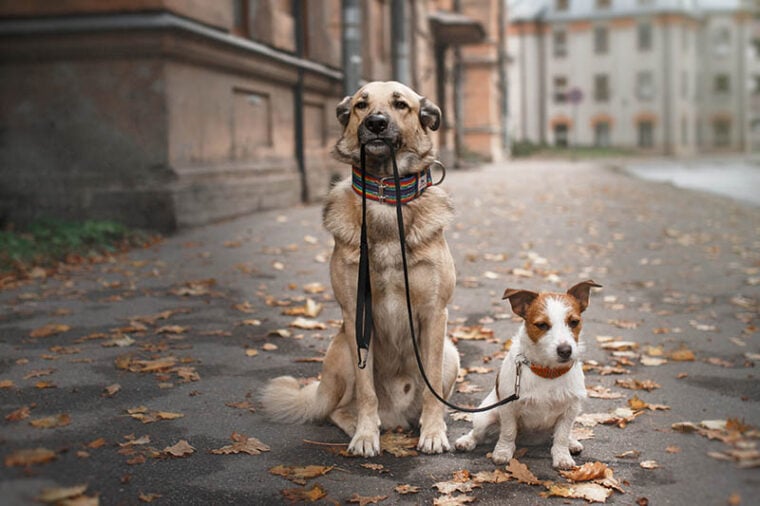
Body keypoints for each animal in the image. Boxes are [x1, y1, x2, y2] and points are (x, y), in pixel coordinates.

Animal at [262, 81, 460, 456]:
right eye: (360, 105)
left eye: (400, 104)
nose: (376, 123)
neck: (385, 195)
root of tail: (397, 415)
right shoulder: (357, 316)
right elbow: (366, 391)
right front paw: (367, 435)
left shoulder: (434, 315)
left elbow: (432, 391)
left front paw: (433, 432)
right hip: (341, 347)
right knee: (338, 409)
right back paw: (359, 424)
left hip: (449, 353)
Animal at [454, 278, 604, 468]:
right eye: (542, 325)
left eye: (574, 322)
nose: (565, 351)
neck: (547, 372)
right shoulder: (509, 408)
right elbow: (508, 432)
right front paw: (503, 452)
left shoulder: (570, 410)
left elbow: (561, 436)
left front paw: (562, 456)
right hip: (485, 417)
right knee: (477, 433)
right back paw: (466, 441)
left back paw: (572, 442)